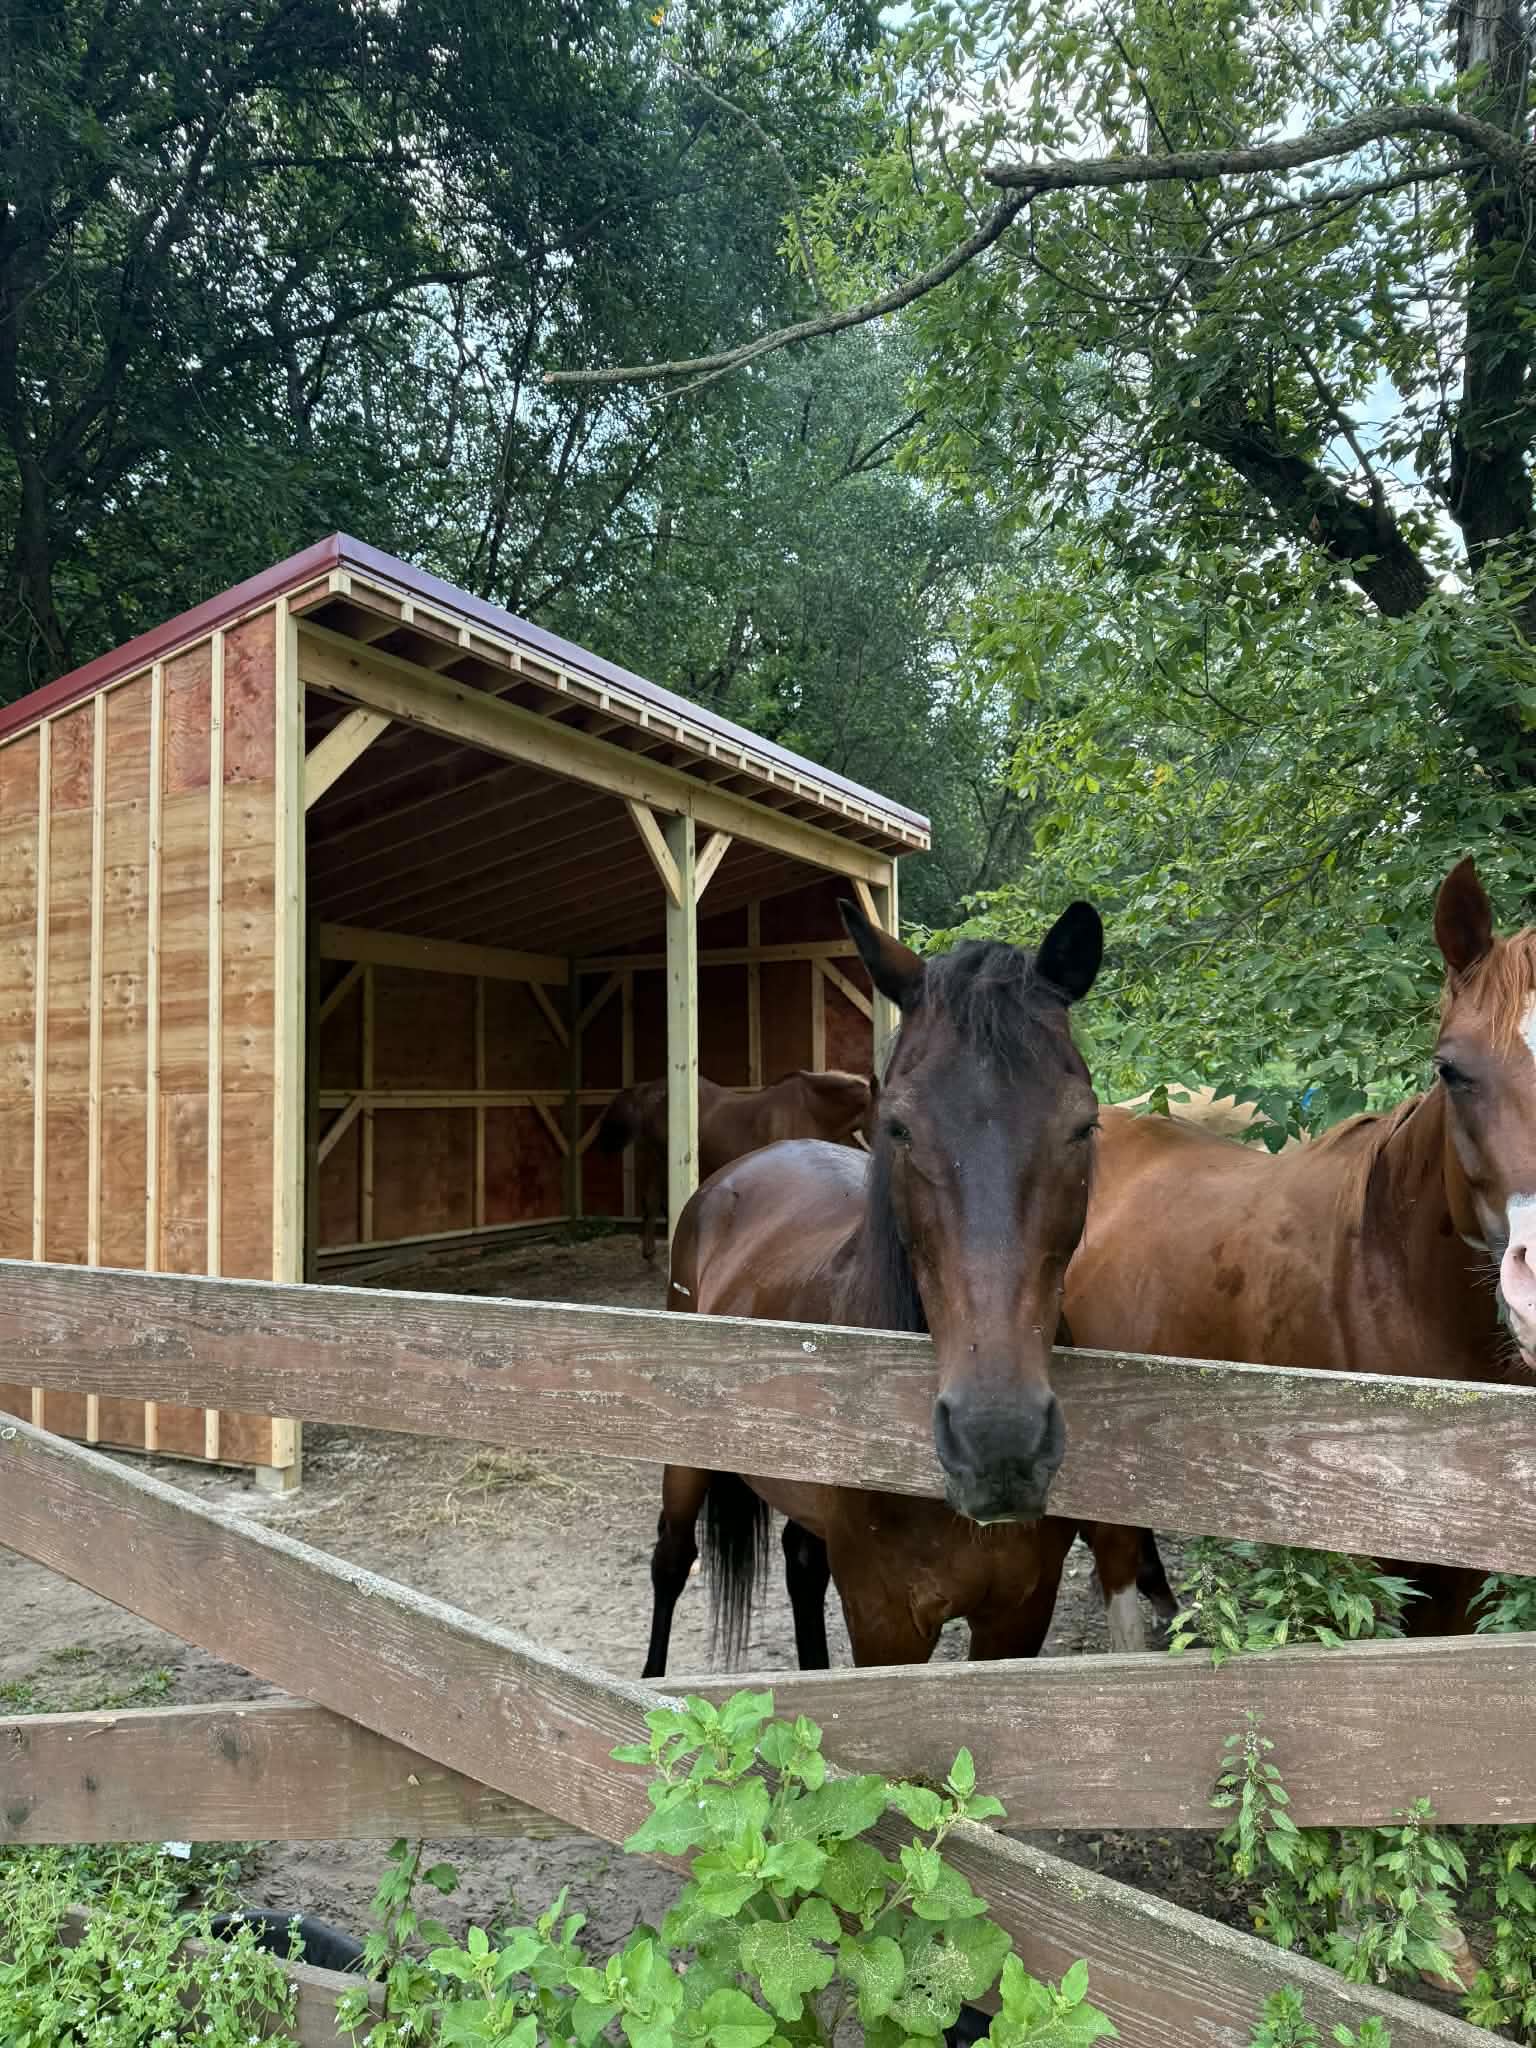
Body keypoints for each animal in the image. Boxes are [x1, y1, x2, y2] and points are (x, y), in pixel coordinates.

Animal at [641, 892, 1104, 1677]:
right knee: (671, 1560)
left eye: (1084, 1127)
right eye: (899, 1127)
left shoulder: (1019, 1616)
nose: (998, 1443)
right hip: (687, 1456)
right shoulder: (887, 1622)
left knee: (801, 1562)